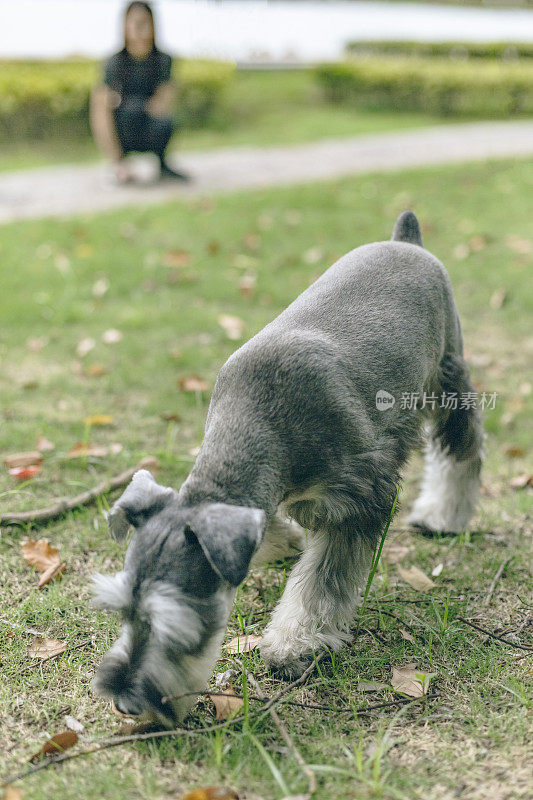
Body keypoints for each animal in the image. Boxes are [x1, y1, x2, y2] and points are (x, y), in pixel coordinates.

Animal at [93, 211, 484, 724]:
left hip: (447, 377)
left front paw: (293, 644)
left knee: (462, 450)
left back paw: (443, 514)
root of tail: (406, 241)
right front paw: (287, 544)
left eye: (175, 624)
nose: (124, 701)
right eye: (122, 609)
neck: (261, 422)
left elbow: (322, 582)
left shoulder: (357, 501)